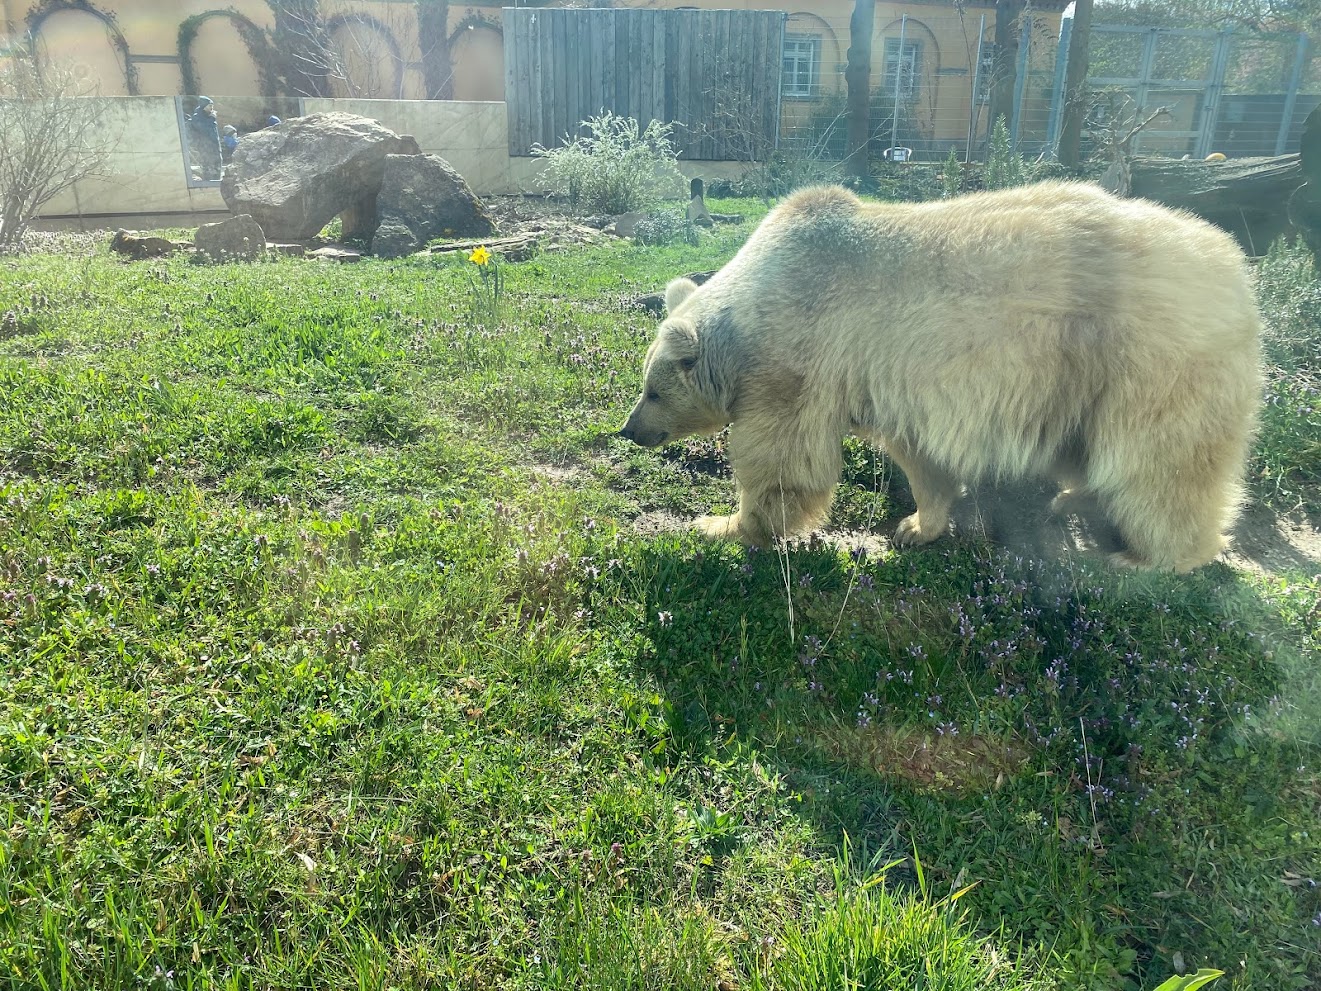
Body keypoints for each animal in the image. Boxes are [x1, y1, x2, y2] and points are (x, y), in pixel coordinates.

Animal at [618, 181, 1264, 573]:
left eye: (652, 390)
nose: (630, 429)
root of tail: (1234, 268)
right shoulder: (881, 380)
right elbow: (918, 455)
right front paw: (914, 526)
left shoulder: (797, 356)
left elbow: (785, 461)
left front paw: (721, 525)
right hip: (1088, 376)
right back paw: (1071, 497)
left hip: (1152, 358)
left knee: (1162, 463)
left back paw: (1150, 556)